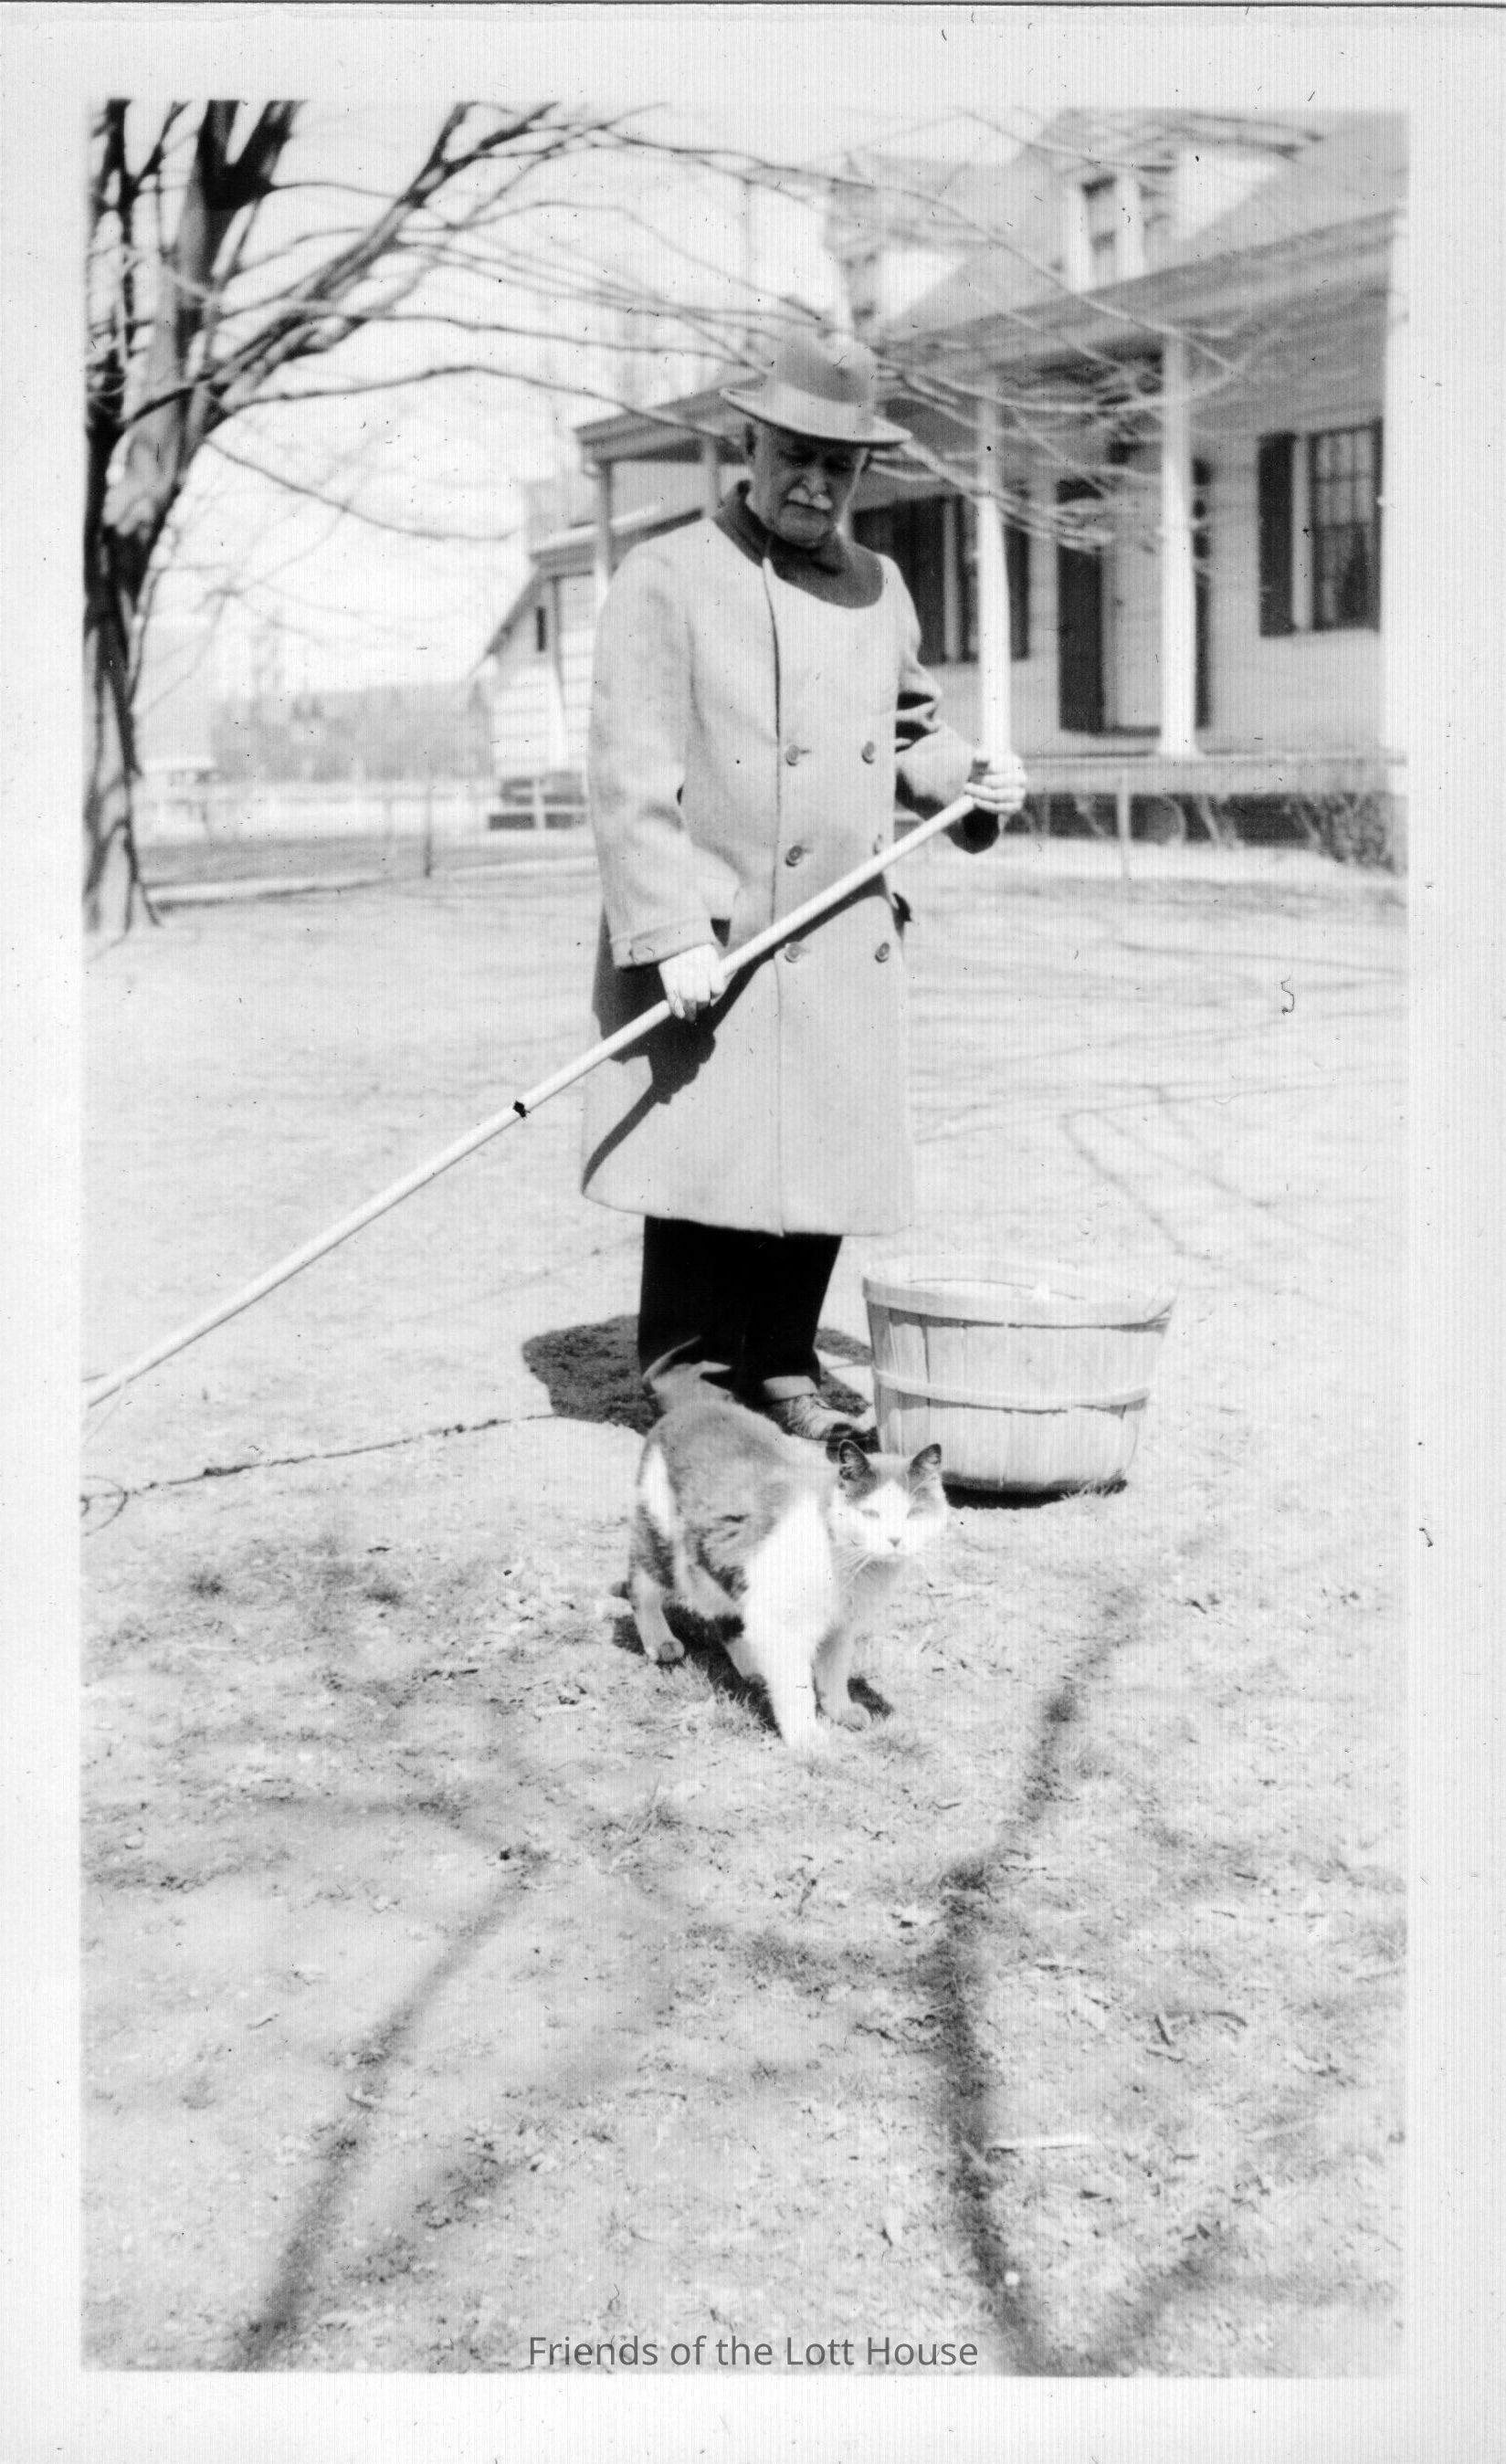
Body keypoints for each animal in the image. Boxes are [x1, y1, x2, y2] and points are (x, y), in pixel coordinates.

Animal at [626, 1394, 948, 1755]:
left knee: (729, 1615)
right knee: (639, 1585)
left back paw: (754, 1666)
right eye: (870, 1514)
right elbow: (797, 1686)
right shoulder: (783, 1622)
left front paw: (840, 1710)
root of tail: (692, 1407)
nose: (895, 1539)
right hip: (667, 1547)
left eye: (913, 1513)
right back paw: (661, 1641)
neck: (851, 1564)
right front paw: (805, 1735)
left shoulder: (840, 1625)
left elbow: (834, 1669)